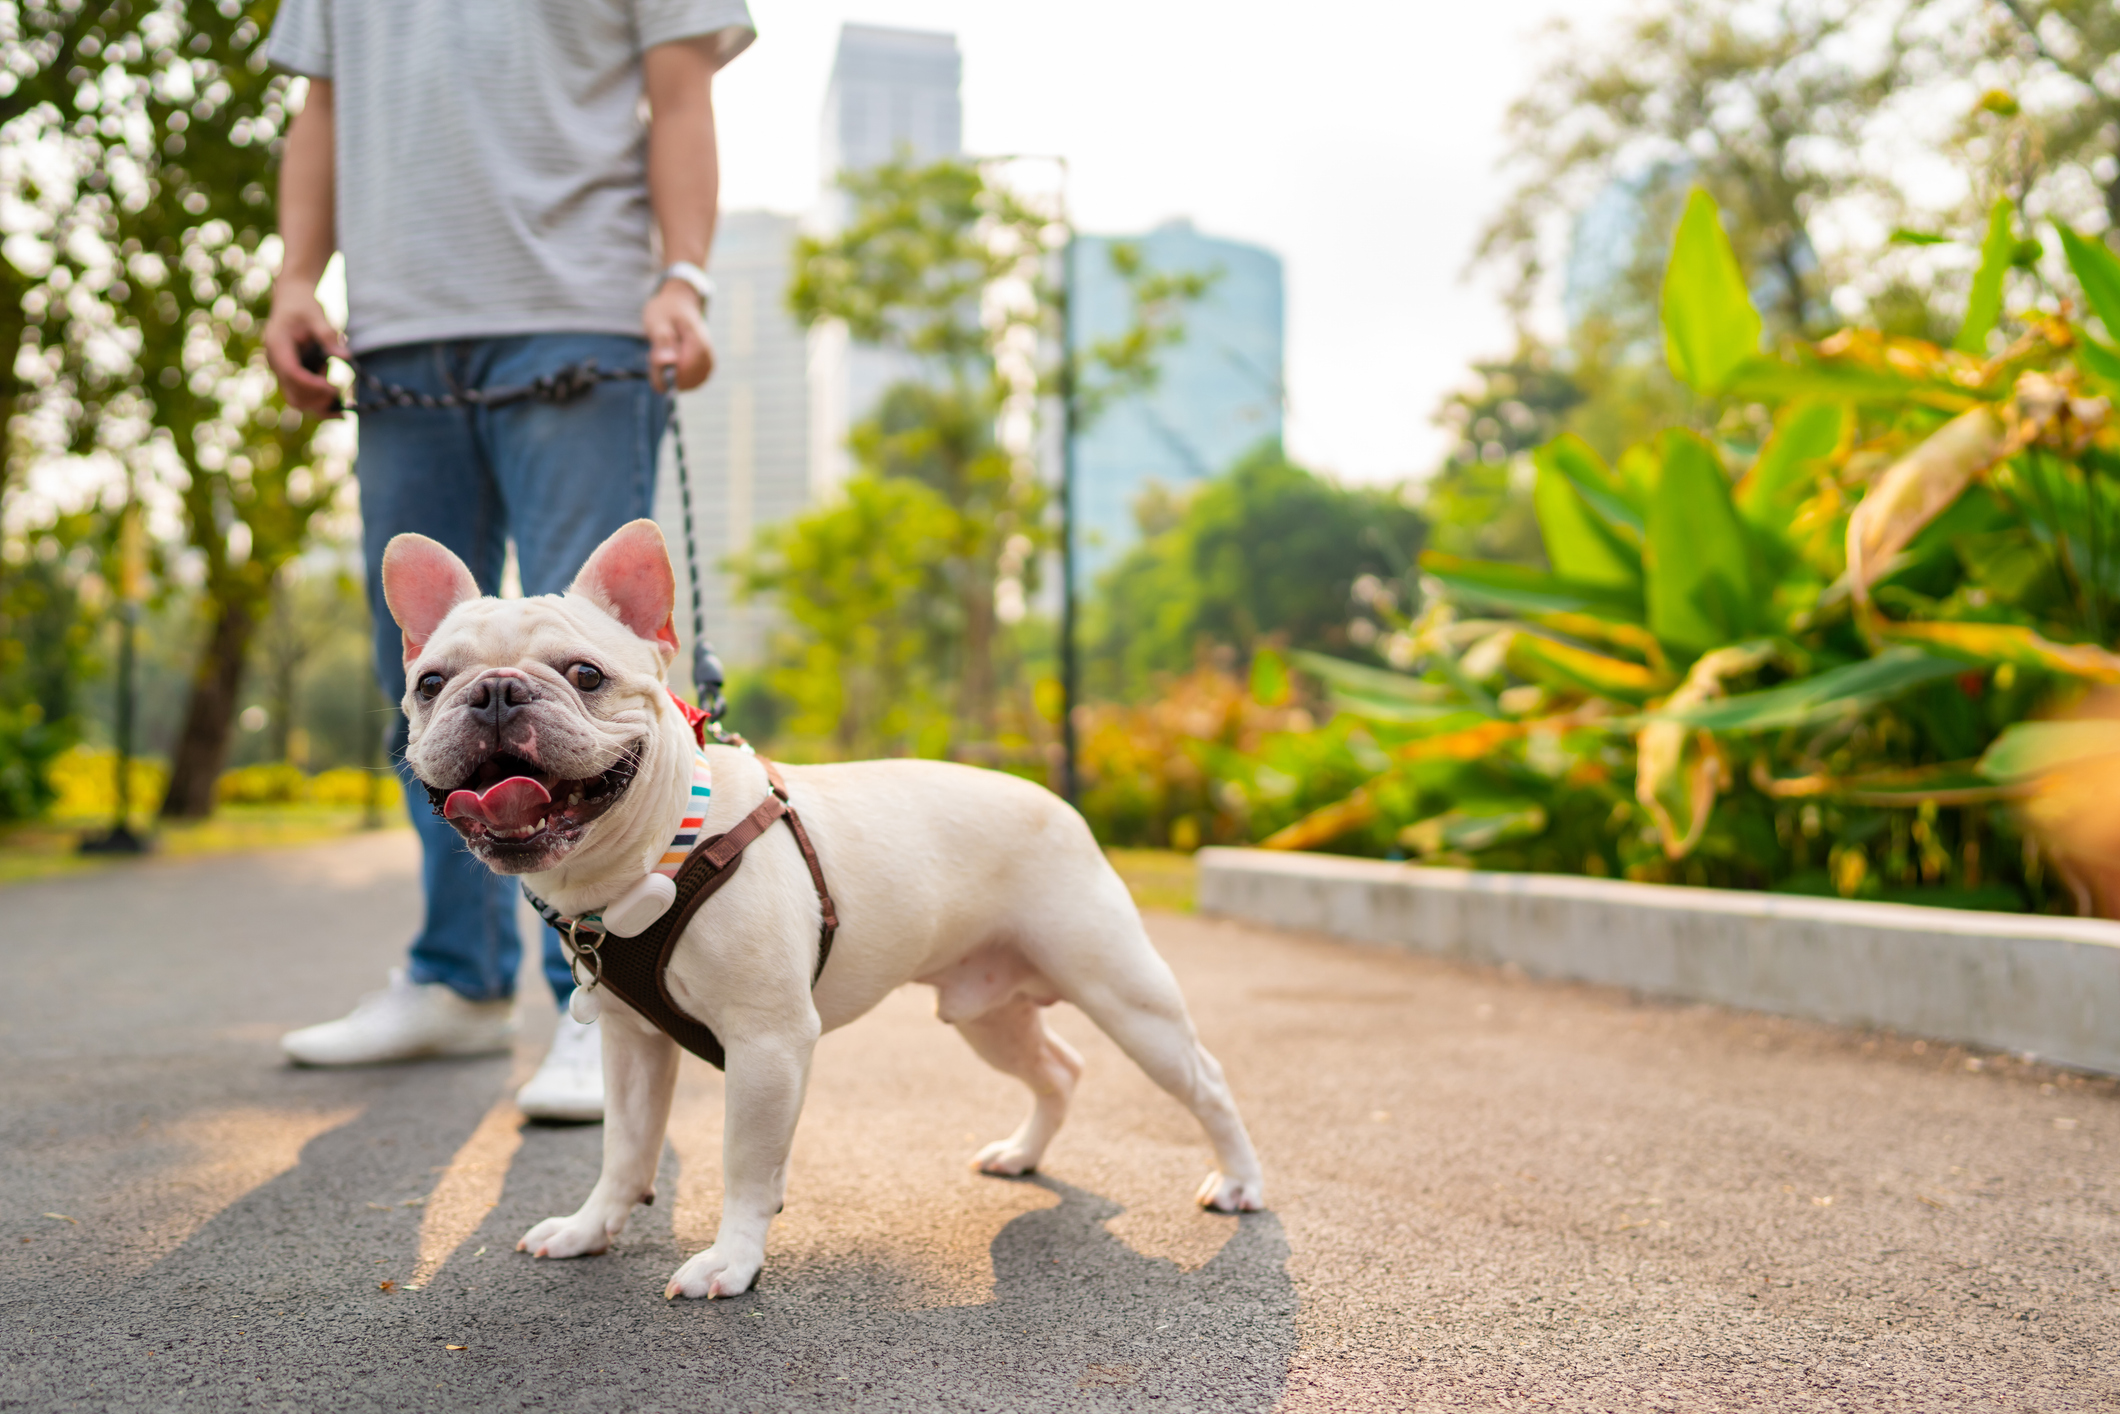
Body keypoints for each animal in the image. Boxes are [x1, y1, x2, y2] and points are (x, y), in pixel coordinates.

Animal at [385, 517, 1255, 1297]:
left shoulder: (768, 1043)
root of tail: (1057, 800)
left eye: (586, 675)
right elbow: (624, 1148)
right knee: (1060, 1070)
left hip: (1124, 994)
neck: (647, 864)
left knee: (1206, 1078)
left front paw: (731, 1262)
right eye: (431, 684)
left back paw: (1239, 1182)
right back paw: (1023, 1152)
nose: (496, 693)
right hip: (986, 1013)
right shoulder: (632, 1045)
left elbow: (743, 1160)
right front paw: (589, 1228)